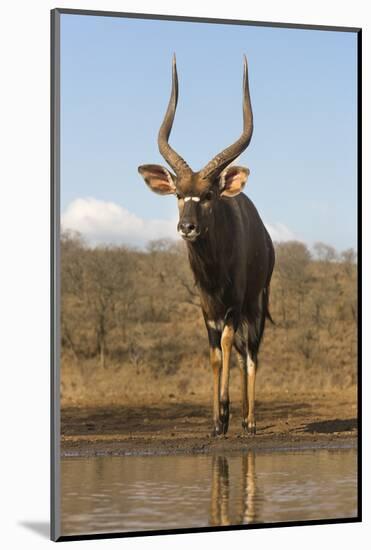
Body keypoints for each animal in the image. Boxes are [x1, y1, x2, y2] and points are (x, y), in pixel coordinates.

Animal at [138, 55, 274, 436]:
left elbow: (228, 345)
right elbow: (214, 354)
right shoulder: (207, 309)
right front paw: (215, 421)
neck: (214, 271)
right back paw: (240, 418)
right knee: (242, 353)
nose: (187, 227)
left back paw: (250, 421)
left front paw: (226, 414)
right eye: (179, 195)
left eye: (209, 194)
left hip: (257, 303)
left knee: (251, 353)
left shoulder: (232, 306)